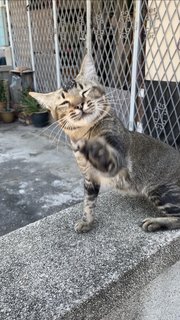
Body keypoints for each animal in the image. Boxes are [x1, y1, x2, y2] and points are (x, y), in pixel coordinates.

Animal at [29, 54, 180, 232]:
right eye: (64, 102)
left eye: (84, 91)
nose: (79, 105)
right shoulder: (89, 178)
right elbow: (88, 202)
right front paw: (87, 222)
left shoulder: (113, 160)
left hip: (161, 190)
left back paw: (154, 222)